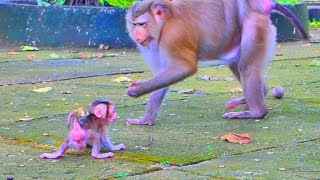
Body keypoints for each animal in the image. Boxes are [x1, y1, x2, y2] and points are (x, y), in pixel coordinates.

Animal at [124, 0, 308, 125]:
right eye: (134, 25)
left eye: (142, 24)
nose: (137, 35)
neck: (163, 24)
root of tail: (260, 5)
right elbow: (164, 75)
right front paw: (146, 119)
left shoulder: (173, 38)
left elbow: (184, 68)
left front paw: (137, 90)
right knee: (236, 63)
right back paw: (256, 96)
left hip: (255, 26)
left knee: (246, 68)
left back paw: (256, 112)